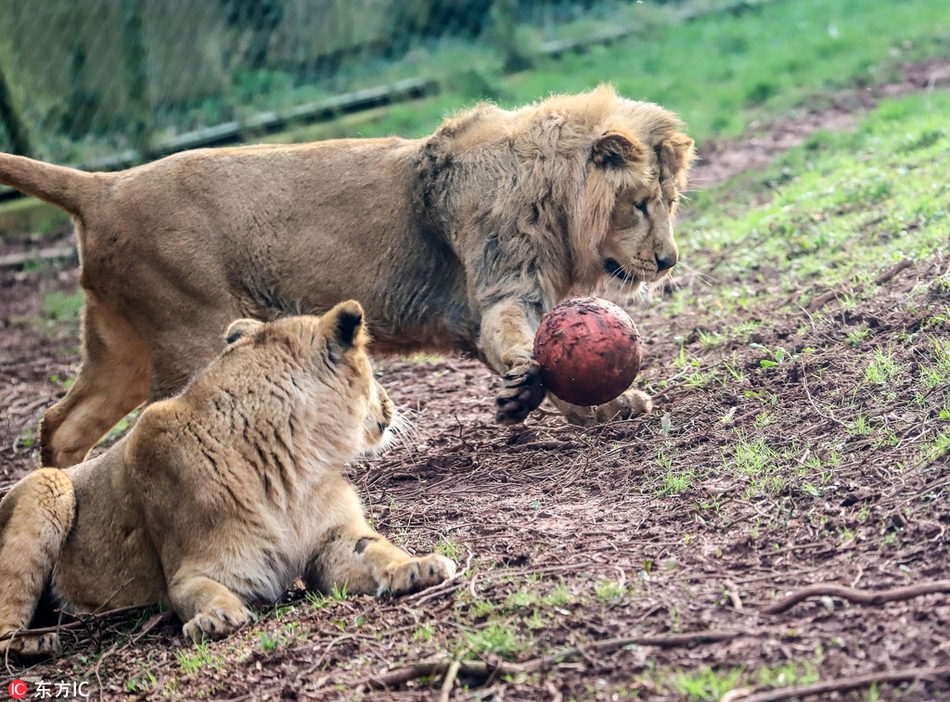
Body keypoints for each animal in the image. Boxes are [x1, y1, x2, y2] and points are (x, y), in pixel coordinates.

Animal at [0, 84, 696, 468]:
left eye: (671, 201)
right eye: (640, 205)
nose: (668, 262)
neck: (552, 190)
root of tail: (103, 185)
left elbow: (547, 368)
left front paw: (600, 408)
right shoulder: (503, 289)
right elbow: (536, 358)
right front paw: (580, 403)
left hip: (123, 351)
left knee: (60, 425)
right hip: (186, 339)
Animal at [0, 304, 458, 660]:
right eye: (372, 374)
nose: (391, 404)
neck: (296, 465)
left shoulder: (333, 540)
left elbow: (378, 550)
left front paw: (418, 567)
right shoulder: (195, 569)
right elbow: (202, 591)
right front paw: (216, 618)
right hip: (49, 485)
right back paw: (32, 644)